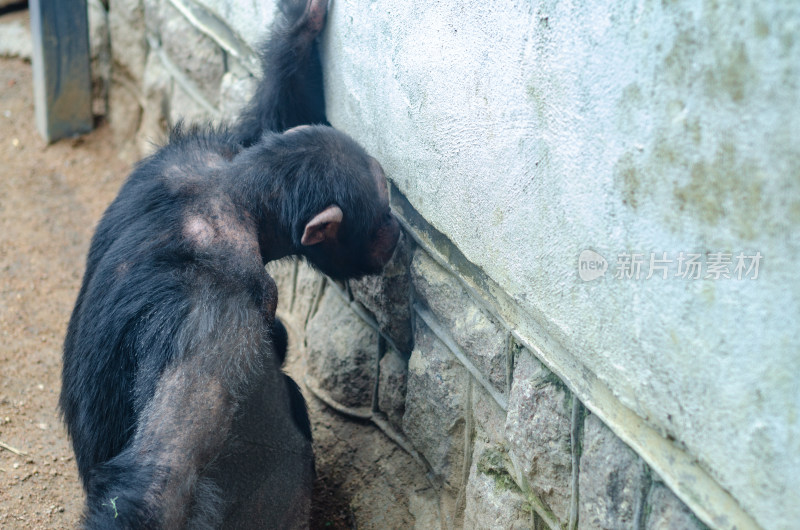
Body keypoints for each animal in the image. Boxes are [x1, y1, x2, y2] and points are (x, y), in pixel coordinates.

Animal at [59, 0, 404, 524]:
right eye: (381, 207)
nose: (396, 227)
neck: (236, 198)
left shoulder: (187, 155)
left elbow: (264, 119)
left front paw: (302, 25)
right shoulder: (219, 309)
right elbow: (164, 473)